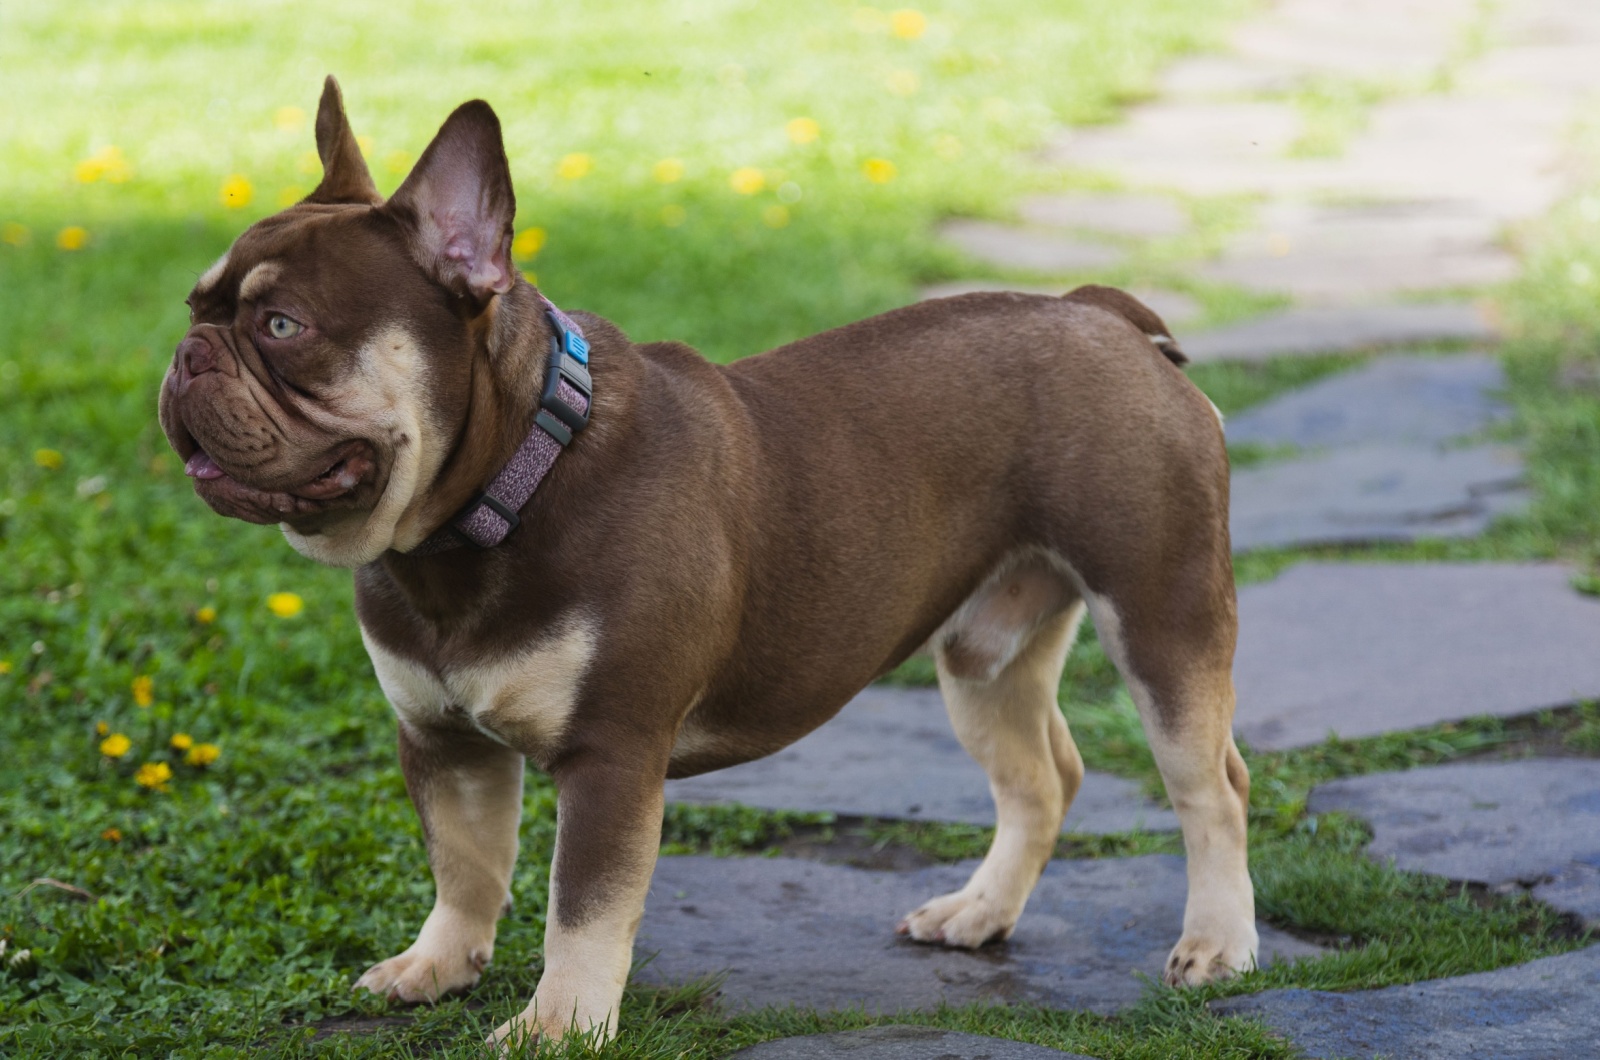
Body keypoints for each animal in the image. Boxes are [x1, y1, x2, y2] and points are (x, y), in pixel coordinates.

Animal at [165, 78, 1260, 1050]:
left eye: (283, 326)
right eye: (194, 305)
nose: (185, 356)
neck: (481, 512)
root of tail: (1099, 312)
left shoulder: (610, 757)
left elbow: (581, 906)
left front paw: (558, 1027)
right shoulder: (439, 739)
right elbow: (464, 866)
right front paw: (439, 965)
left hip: (1161, 616)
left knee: (1210, 785)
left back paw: (1217, 945)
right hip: (984, 655)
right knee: (1041, 778)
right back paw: (980, 911)